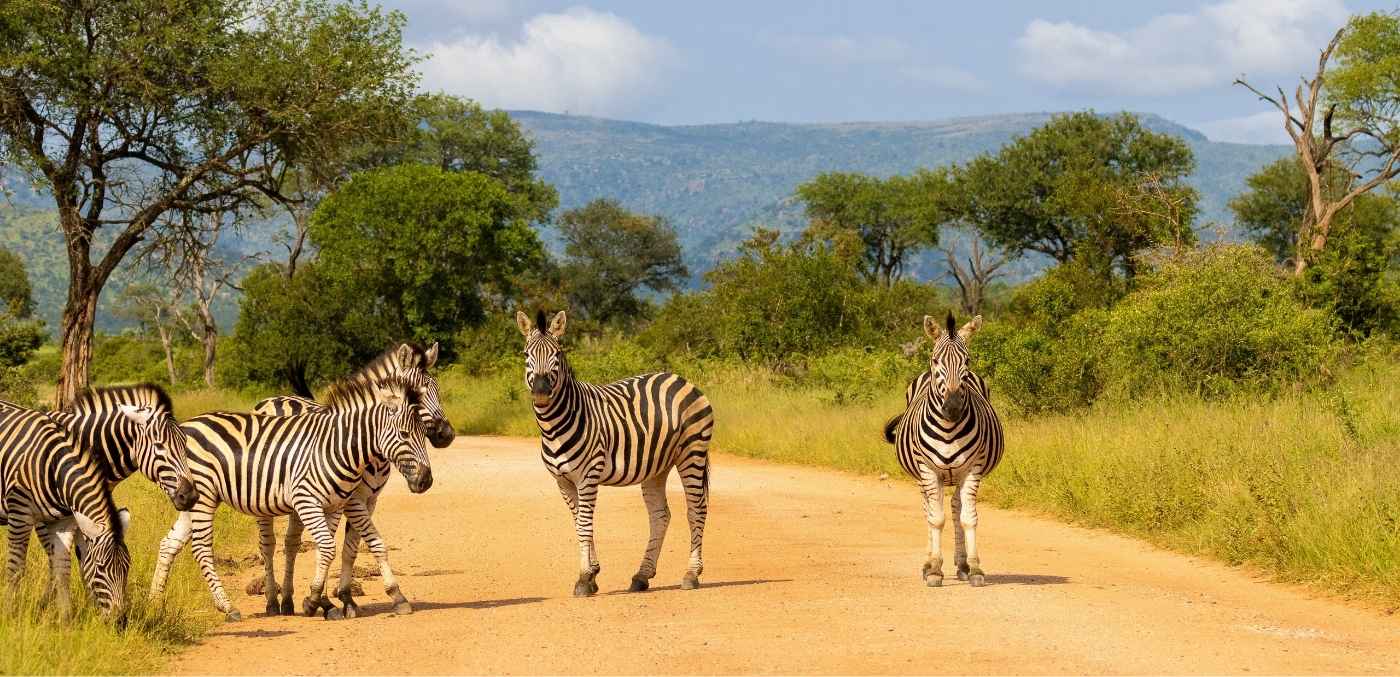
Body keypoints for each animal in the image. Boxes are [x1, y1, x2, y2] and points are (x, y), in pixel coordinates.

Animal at [1, 401, 144, 616]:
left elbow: (62, 569)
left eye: (127, 566)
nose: (120, 619)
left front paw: (65, 617)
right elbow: (16, 568)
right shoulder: (20, 514)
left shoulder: (65, 522)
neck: (53, 465)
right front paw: (10, 613)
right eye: (100, 568)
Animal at [148, 374, 433, 622]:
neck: (337, 447)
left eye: (424, 434)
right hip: (205, 496)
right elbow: (328, 547)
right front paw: (316, 600)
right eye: (405, 434)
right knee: (202, 548)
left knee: (169, 544)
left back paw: (154, 603)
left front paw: (393, 596)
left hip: (190, 499)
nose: (426, 480)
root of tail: (185, 425)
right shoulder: (309, 501)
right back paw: (229, 607)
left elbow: (366, 544)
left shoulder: (336, 505)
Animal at [249, 342, 453, 618]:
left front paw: (344, 598)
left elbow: (351, 548)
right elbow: (361, 544)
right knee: (268, 545)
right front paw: (327, 600)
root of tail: (275, 399)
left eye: (436, 389)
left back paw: (288, 601)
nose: (447, 435)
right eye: (417, 394)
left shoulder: (368, 501)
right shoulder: (351, 501)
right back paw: (272, 601)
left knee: (291, 543)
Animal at [516, 309, 714, 596]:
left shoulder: (588, 475)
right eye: (525, 354)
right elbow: (579, 523)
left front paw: (584, 579)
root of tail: (680, 379)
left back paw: (691, 574)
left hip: (693, 452)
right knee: (660, 516)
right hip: (658, 465)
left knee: (696, 508)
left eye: (558, 354)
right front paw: (593, 573)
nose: (541, 393)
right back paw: (642, 576)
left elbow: (585, 525)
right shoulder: (563, 481)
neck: (554, 426)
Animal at [882, 312, 1004, 588]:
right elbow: (935, 518)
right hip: (922, 475)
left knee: (957, 506)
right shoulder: (928, 470)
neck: (949, 429)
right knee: (928, 508)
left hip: (958, 474)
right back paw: (928, 564)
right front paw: (935, 570)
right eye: (935, 360)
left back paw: (962, 565)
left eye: (967, 360)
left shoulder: (973, 468)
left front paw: (975, 569)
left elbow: (968, 518)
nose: (952, 407)